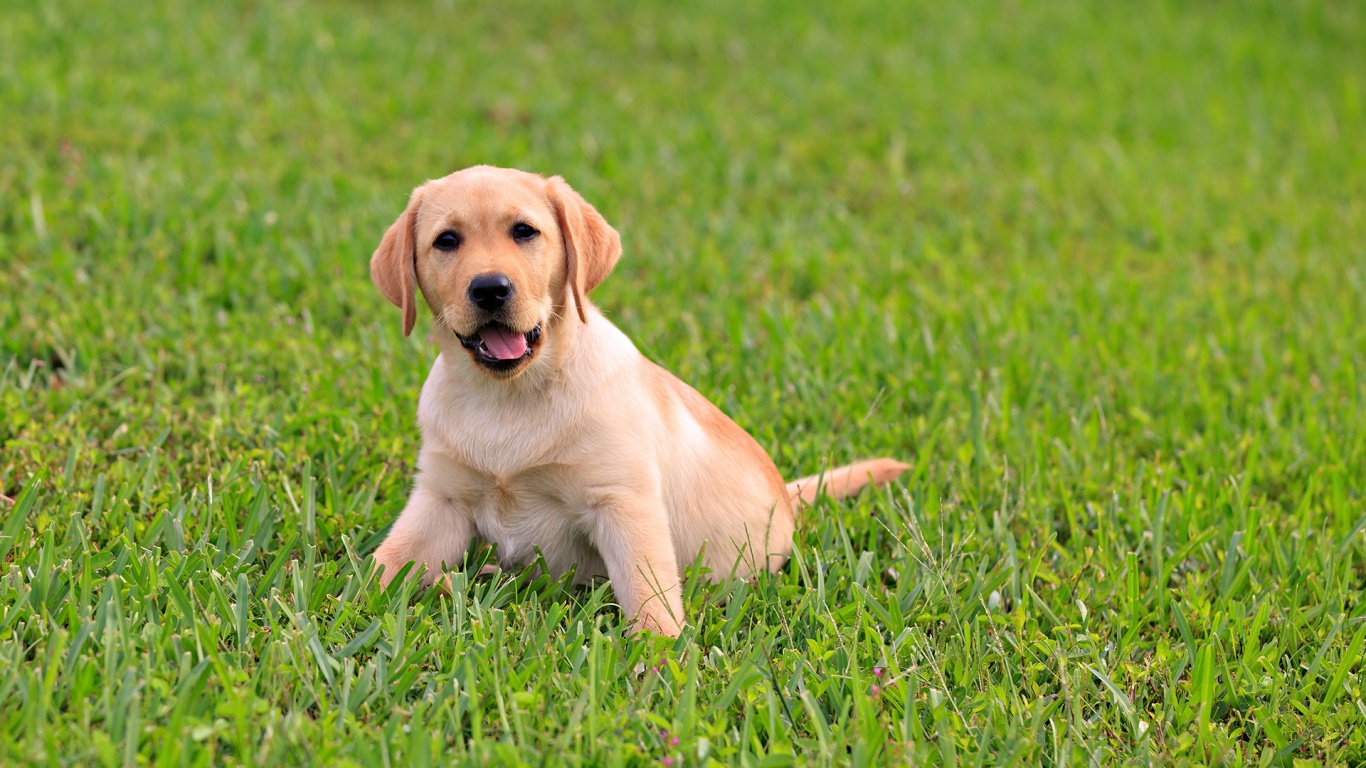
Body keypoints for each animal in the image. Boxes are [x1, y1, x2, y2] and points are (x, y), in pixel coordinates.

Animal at [371, 164, 907, 631]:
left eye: (524, 232)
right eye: (446, 240)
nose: (489, 289)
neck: (508, 397)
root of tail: (788, 498)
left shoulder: (623, 503)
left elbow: (648, 593)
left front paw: (661, 659)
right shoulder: (441, 499)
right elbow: (381, 566)